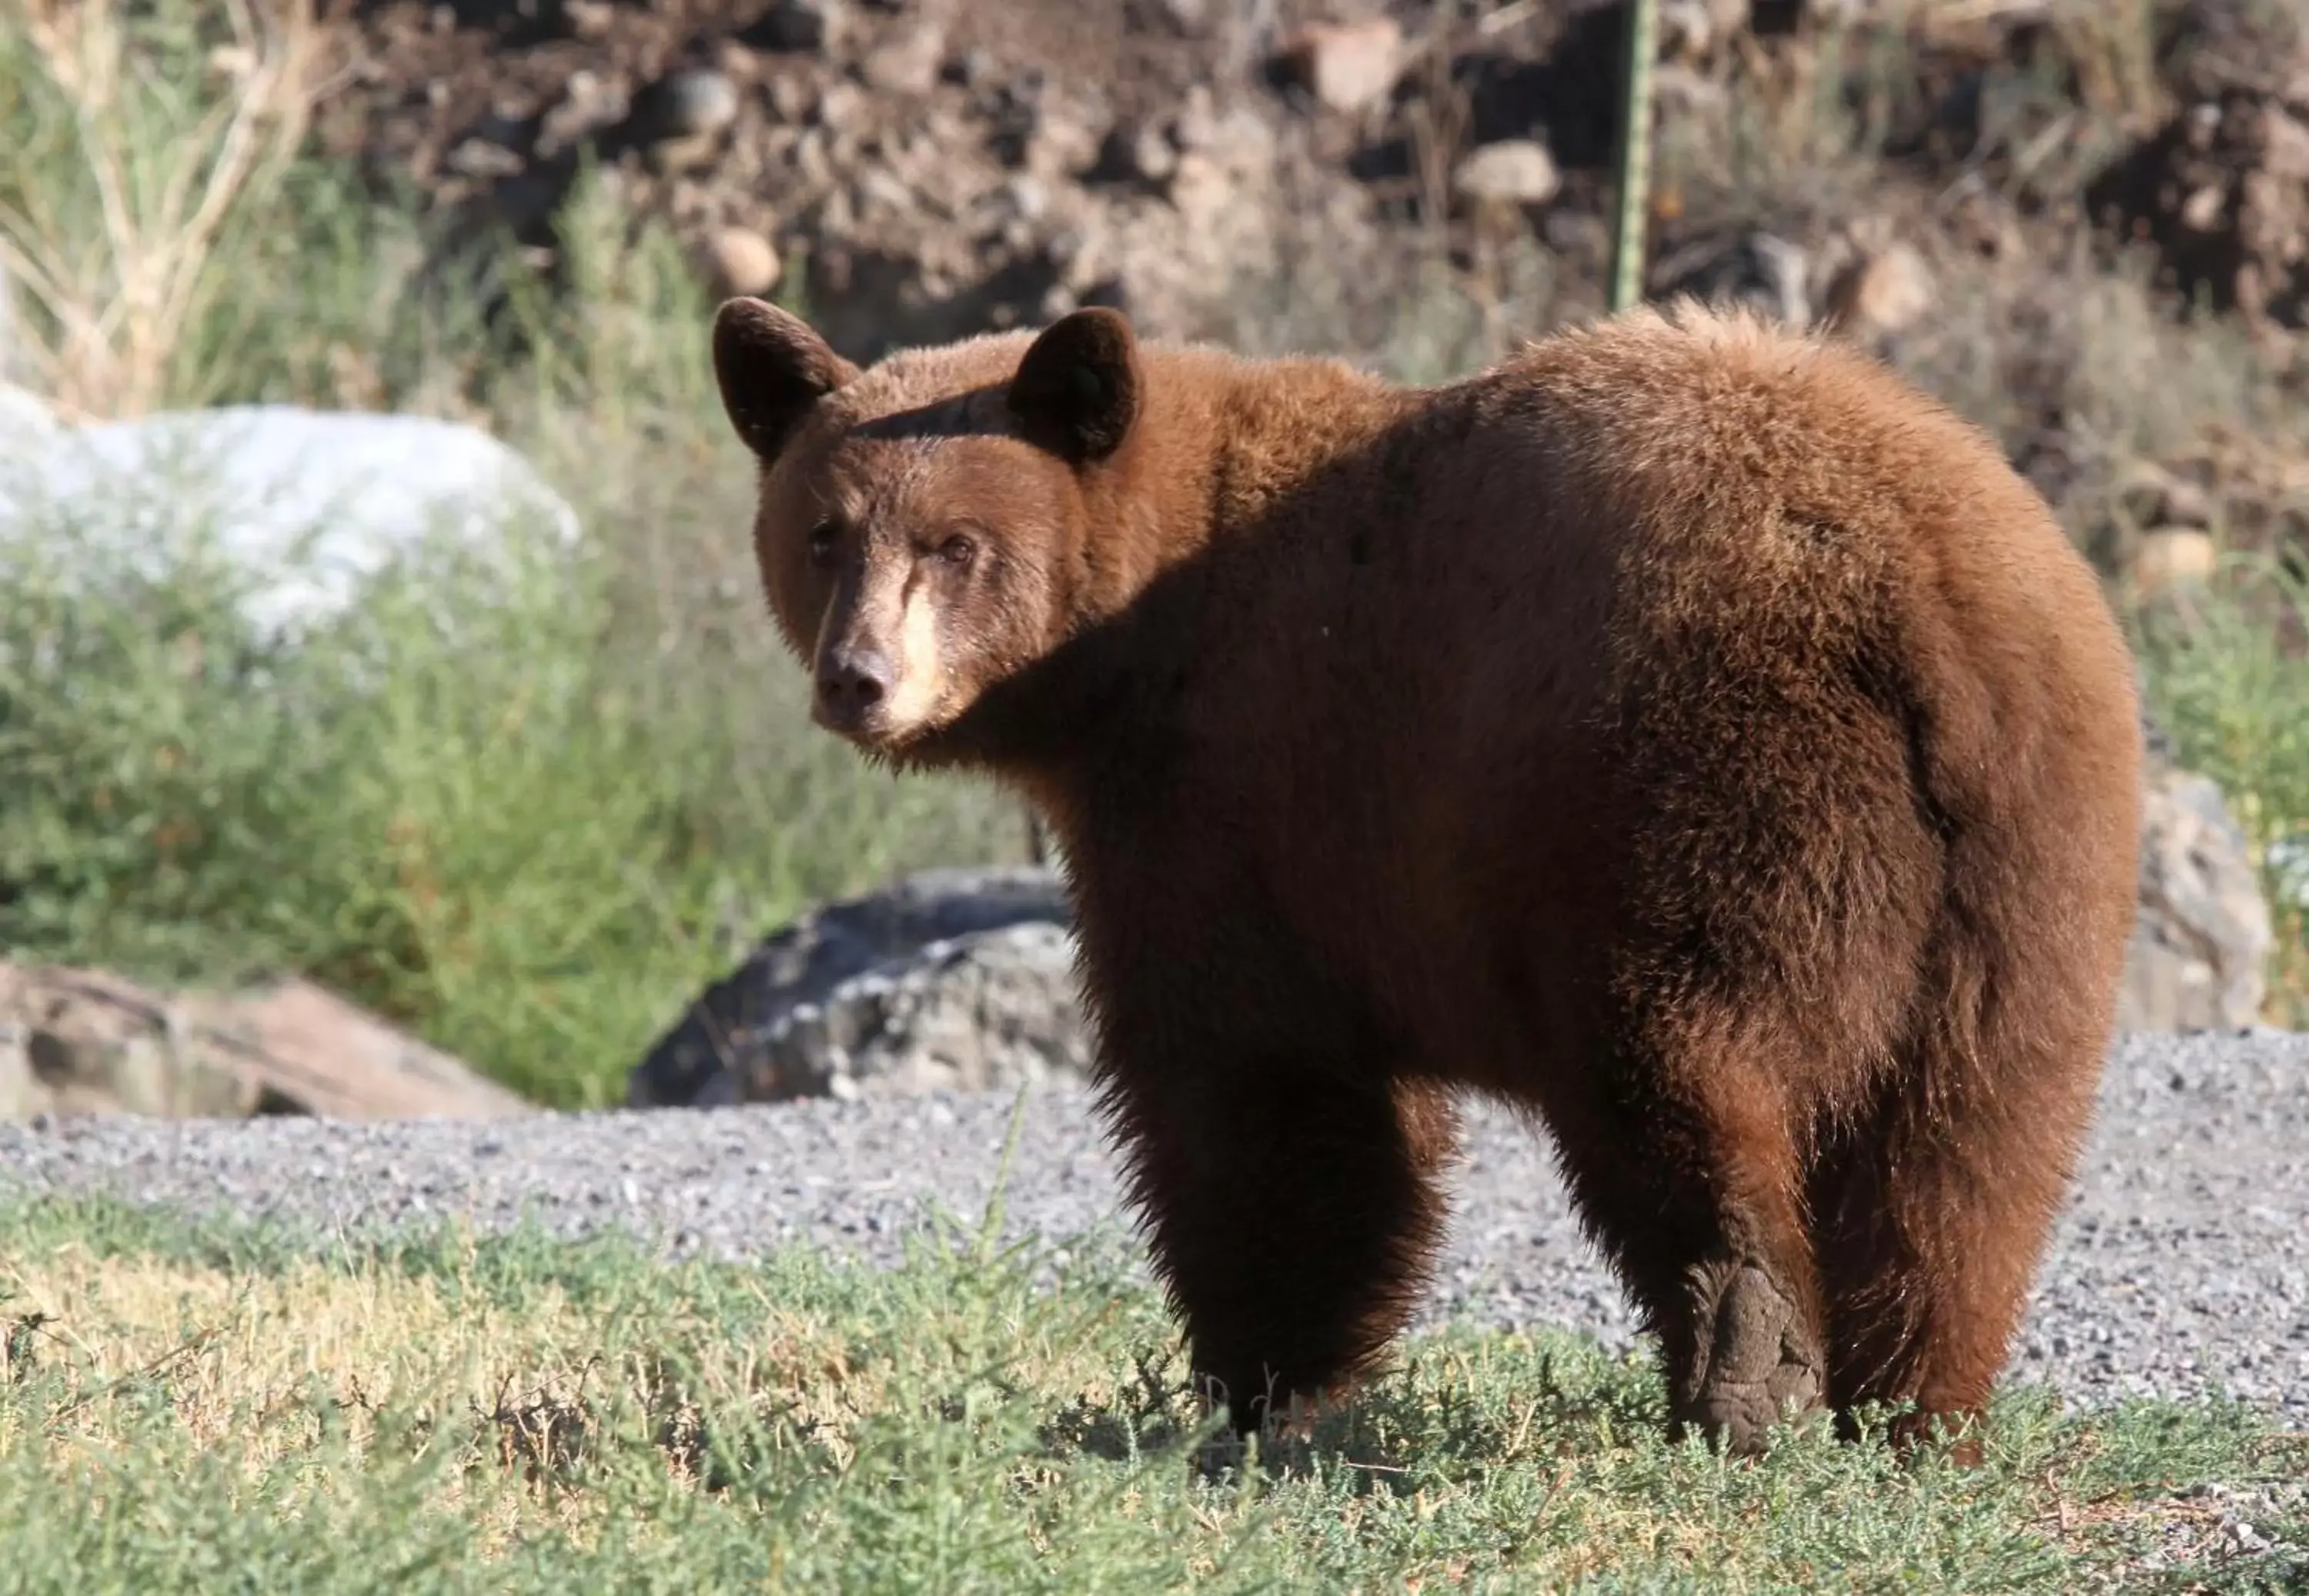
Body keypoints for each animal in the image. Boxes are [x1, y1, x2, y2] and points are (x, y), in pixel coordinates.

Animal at [707, 289, 2143, 1459]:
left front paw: (1256, 1384)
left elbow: (1260, 1098)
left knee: (1685, 1069)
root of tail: (1920, 603)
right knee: (1971, 1152)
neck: (1137, 645)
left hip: (1699, 796)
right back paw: (1914, 1408)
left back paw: (1747, 1372)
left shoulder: (1240, 797)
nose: (857, 679)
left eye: (954, 543)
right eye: (826, 533)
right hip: (2036, 865)